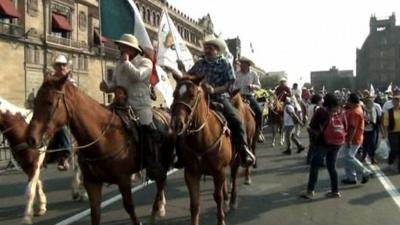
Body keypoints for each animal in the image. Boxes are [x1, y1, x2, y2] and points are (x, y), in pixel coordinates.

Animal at [26, 75, 173, 225]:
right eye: (35, 101)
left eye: (49, 102)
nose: (31, 138)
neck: (103, 136)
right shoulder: (92, 182)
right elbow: (95, 212)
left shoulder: (123, 179)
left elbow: (129, 207)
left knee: (161, 182)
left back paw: (157, 210)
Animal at [170, 75, 236, 225]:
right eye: (174, 94)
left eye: (192, 95)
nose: (176, 124)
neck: (202, 139)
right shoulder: (191, 173)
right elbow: (194, 204)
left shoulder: (218, 171)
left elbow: (217, 197)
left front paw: (221, 220)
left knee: (234, 178)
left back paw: (232, 201)